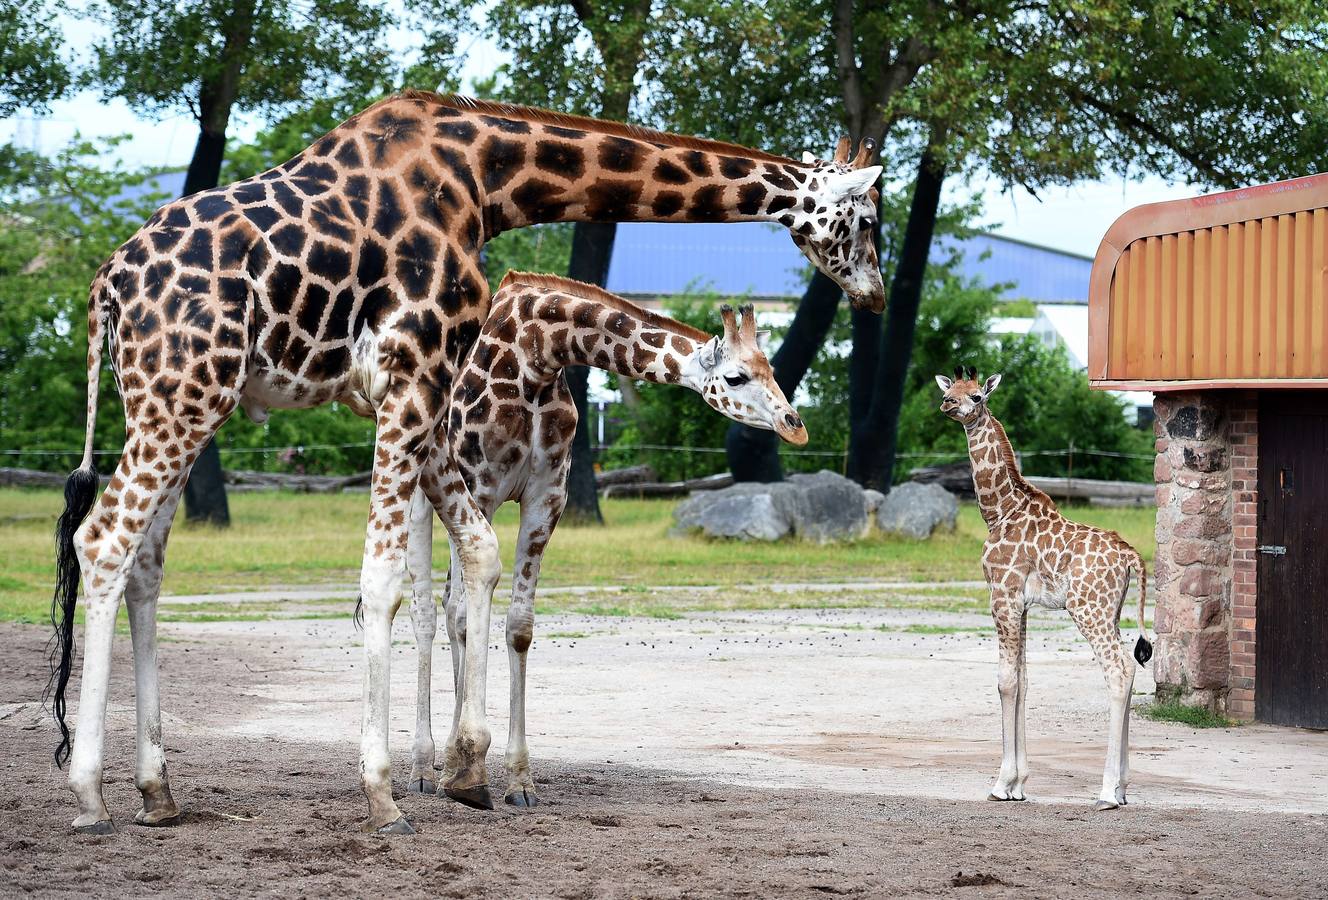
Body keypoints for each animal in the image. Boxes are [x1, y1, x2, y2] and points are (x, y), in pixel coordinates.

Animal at [398, 272, 802, 807]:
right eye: (736, 377)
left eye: (770, 367)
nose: (794, 426)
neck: (538, 355)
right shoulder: (480, 485)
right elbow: (467, 616)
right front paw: (465, 768)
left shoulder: (548, 496)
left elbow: (519, 627)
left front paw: (519, 780)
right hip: (423, 493)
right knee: (429, 613)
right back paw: (424, 768)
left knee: (445, 607)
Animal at [940, 363, 1147, 812]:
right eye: (952, 390)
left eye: (977, 396)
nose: (948, 404)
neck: (998, 511)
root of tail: (1131, 558)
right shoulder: (1022, 604)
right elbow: (1023, 679)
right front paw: (1019, 785)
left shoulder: (1001, 595)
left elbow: (1005, 680)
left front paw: (1001, 783)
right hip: (1112, 611)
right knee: (1129, 669)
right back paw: (1123, 790)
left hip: (1088, 609)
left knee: (1120, 669)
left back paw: (1107, 792)